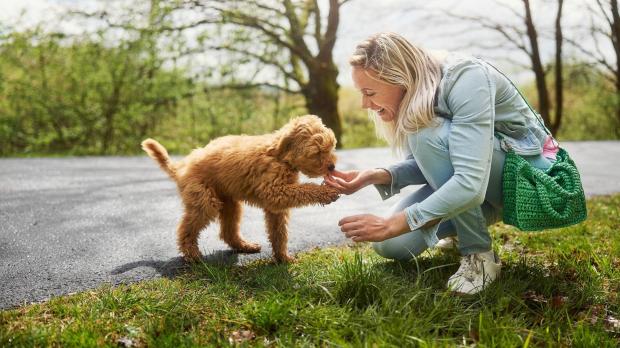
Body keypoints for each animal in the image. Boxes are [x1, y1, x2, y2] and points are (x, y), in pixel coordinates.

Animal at [142, 115, 340, 262]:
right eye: (317, 152)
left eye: (331, 147)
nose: (332, 167)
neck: (280, 156)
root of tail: (181, 167)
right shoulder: (274, 191)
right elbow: (305, 189)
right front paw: (326, 193)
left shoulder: (275, 206)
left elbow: (279, 232)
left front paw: (283, 258)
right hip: (205, 201)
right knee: (187, 228)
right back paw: (191, 254)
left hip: (229, 202)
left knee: (227, 231)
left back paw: (244, 246)